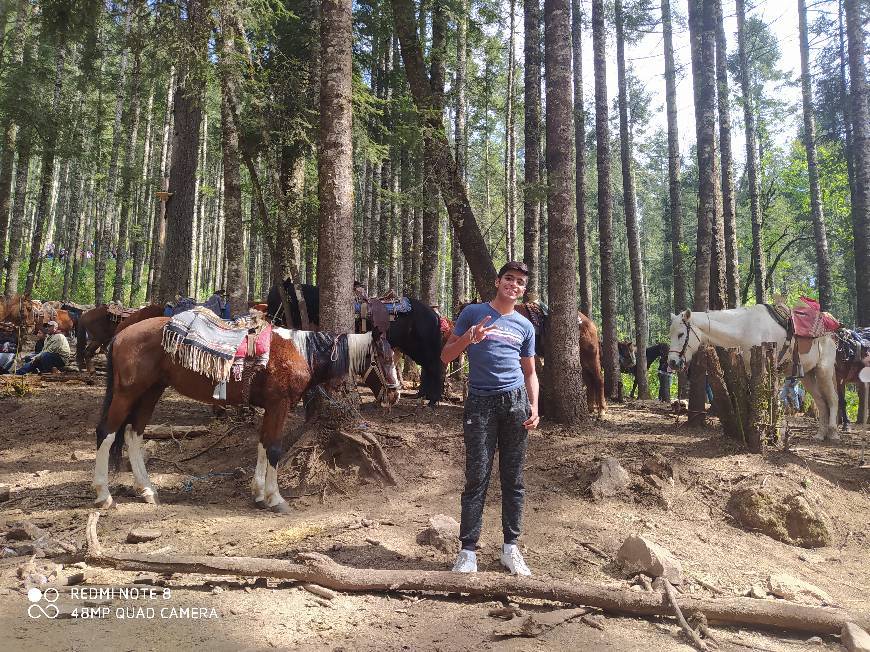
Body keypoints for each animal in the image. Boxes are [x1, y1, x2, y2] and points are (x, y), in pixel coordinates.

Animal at [93, 318, 402, 512]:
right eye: (385, 358)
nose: (396, 393)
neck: (302, 352)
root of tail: (120, 335)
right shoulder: (279, 405)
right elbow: (274, 447)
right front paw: (275, 498)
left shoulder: (271, 407)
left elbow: (263, 445)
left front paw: (258, 493)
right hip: (127, 393)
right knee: (106, 433)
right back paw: (103, 495)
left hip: (151, 392)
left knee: (133, 434)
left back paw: (146, 489)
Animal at [668, 306, 844, 440]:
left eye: (681, 334)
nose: (672, 362)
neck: (744, 327)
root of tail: (831, 335)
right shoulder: (748, 369)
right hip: (808, 376)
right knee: (821, 402)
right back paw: (820, 435)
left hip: (824, 371)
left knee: (833, 399)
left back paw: (833, 434)